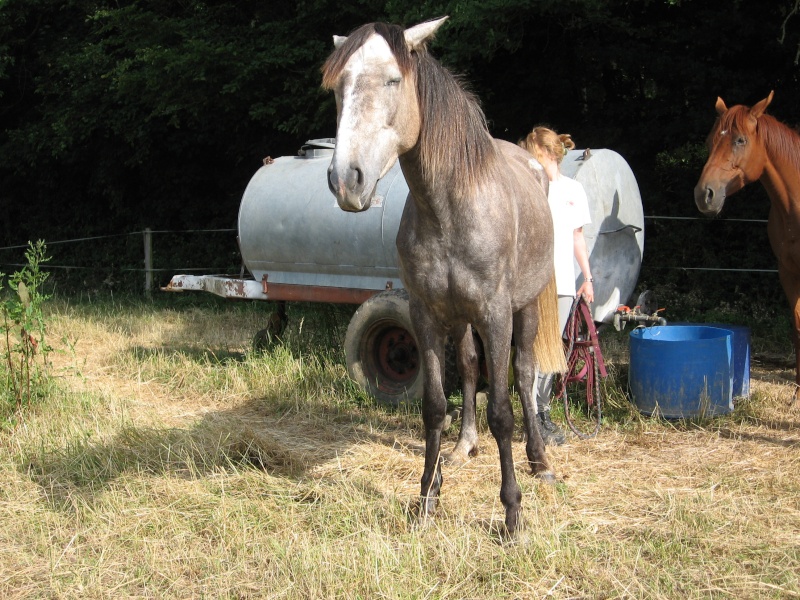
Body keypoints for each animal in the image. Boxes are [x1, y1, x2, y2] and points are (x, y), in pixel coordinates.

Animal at [322, 17, 564, 536]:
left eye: (393, 80)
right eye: (339, 88)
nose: (346, 180)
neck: (449, 207)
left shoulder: (496, 315)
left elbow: (502, 411)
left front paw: (512, 513)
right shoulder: (427, 315)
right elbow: (434, 406)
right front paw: (427, 499)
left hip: (524, 309)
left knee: (524, 373)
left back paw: (539, 462)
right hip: (461, 318)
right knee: (471, 366)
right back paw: (464, 446)